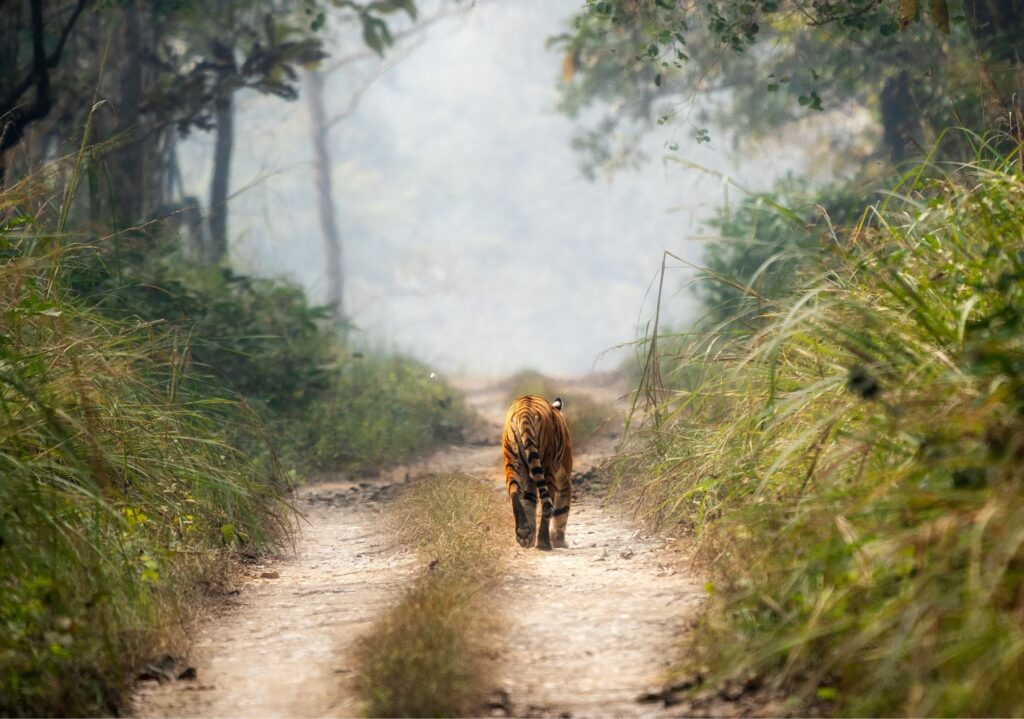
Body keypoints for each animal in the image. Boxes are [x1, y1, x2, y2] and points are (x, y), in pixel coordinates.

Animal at [501, 395, 573, 550]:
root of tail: (524, 410)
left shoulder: (529, 479)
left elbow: (529, 503)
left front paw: (529, 538)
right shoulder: (564, 477)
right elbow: (562, 510)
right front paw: (560, 541)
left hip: (512, 463)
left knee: (514, 492)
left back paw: (523, 533)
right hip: (547, 468)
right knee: (549, 503)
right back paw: (544, 543)